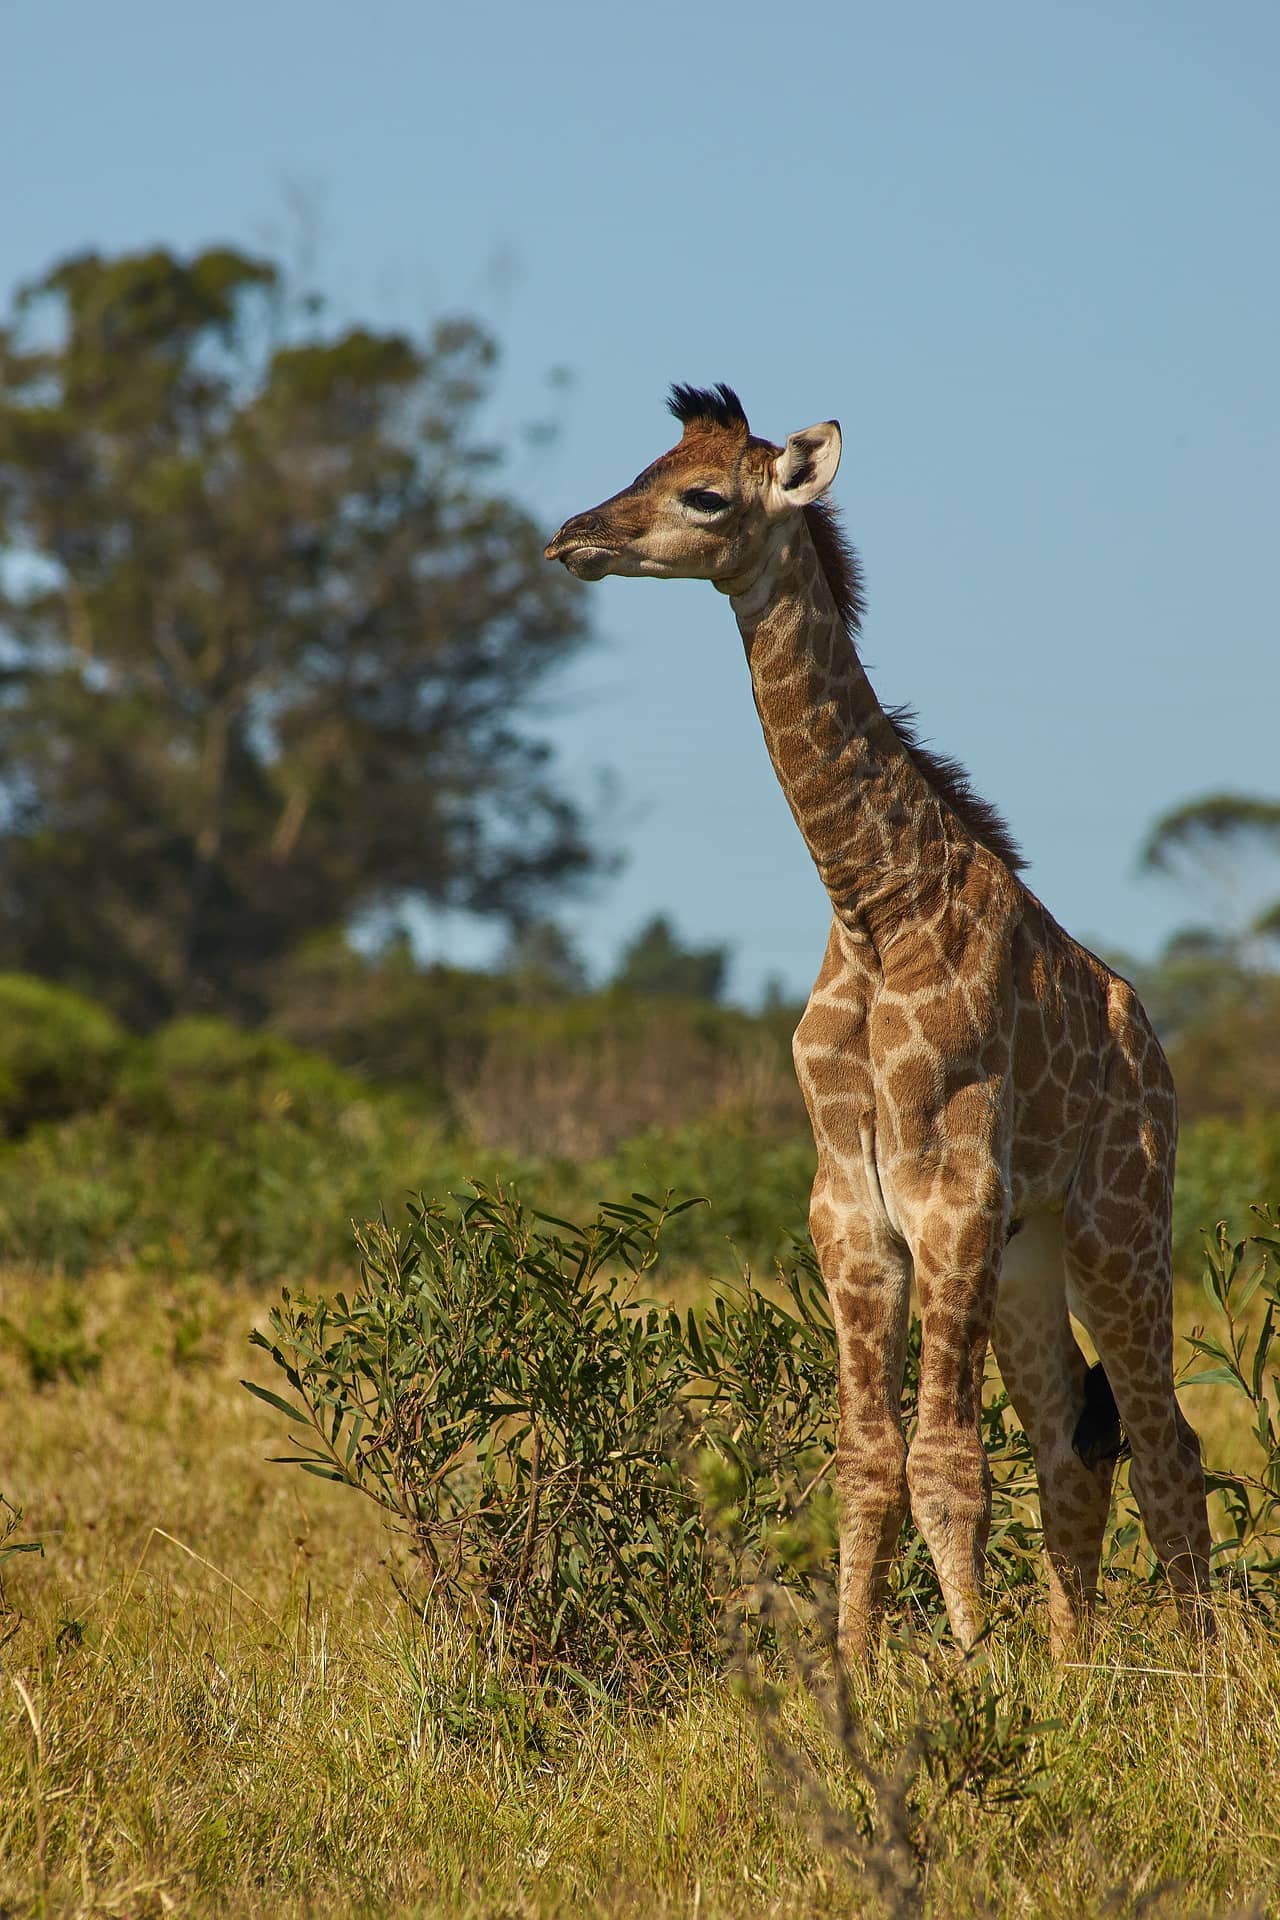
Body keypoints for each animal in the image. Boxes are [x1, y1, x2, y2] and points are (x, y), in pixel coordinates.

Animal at [545, 383, 1213, 1664]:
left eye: (703, 494)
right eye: (642, 465)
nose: (570, 537)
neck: (870, 905)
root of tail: (1151, 1048)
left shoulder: (950, 1195)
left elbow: (945, 1460)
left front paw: (967, 1669)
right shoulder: (849, 1210)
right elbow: (865, 1458)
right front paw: (861, 1665)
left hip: (1117, 1224)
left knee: (1163, 1438)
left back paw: (1196, 1671)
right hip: (1030, 1254)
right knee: (1070, 1444)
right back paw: (1077, 1669)